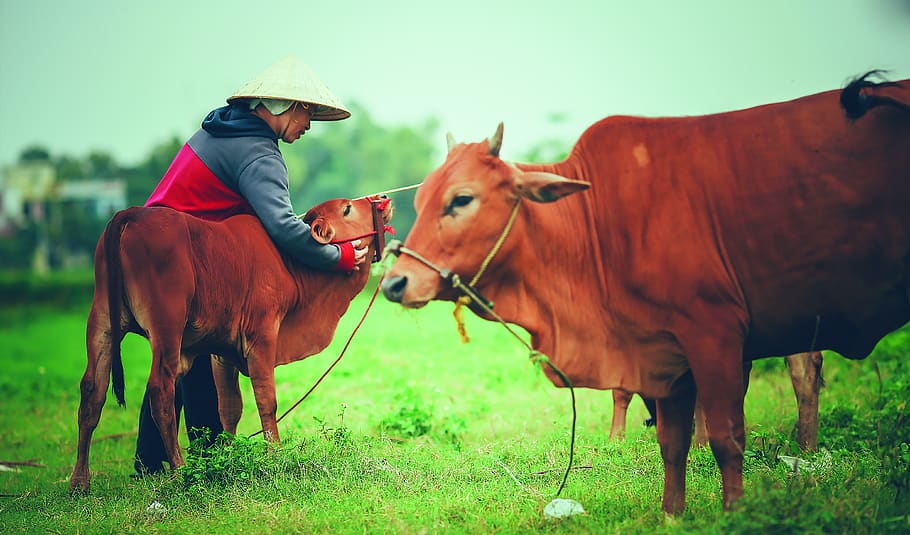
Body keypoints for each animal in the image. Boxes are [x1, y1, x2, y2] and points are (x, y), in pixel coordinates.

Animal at [69, 195, 393, 493]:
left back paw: (79, 482)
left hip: (101, 322)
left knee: (92, 392)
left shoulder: (222, 352)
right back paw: (179, 472)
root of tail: (130, 215)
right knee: (160, 392)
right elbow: (266, 401)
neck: (291, 267)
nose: (384, 199)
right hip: (166, 327)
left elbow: (229, 407)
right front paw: (274, 456)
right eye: (347, 208)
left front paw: (229, 456)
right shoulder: (261, 337)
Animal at [381, 72, 909, 513]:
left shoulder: (713, 333)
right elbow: (671, 443)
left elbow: (726, 436)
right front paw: (672, 514)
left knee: (803, 370)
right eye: (420, 200)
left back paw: (807, 450)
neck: (594, 224)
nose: (394, 281)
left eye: (461, 199)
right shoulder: (660, 350)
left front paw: (734, 512)